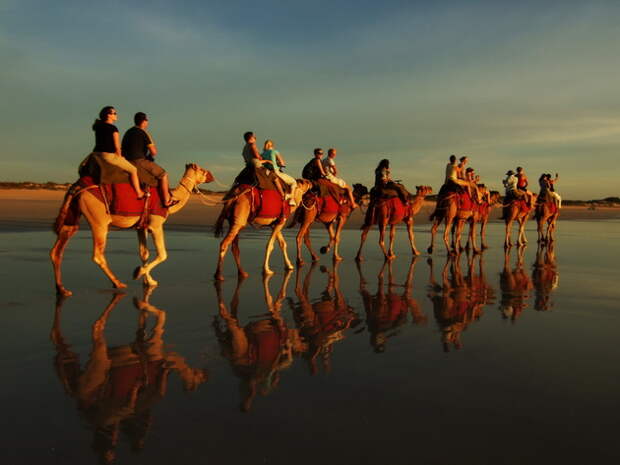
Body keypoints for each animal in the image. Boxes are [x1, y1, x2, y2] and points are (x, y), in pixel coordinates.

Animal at [49, 164, 213, 294]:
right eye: (202, 170)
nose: (211, 175)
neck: (171, 199)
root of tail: (77, 186)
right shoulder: (155, 224)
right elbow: (163, 254)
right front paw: (137, 273)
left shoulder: (141, 227)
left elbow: (144, 253)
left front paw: (149, 281)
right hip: (98, 219)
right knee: (98, 254)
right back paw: (118, 283)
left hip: (72, 214)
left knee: (57, 250)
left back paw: (62, 289)